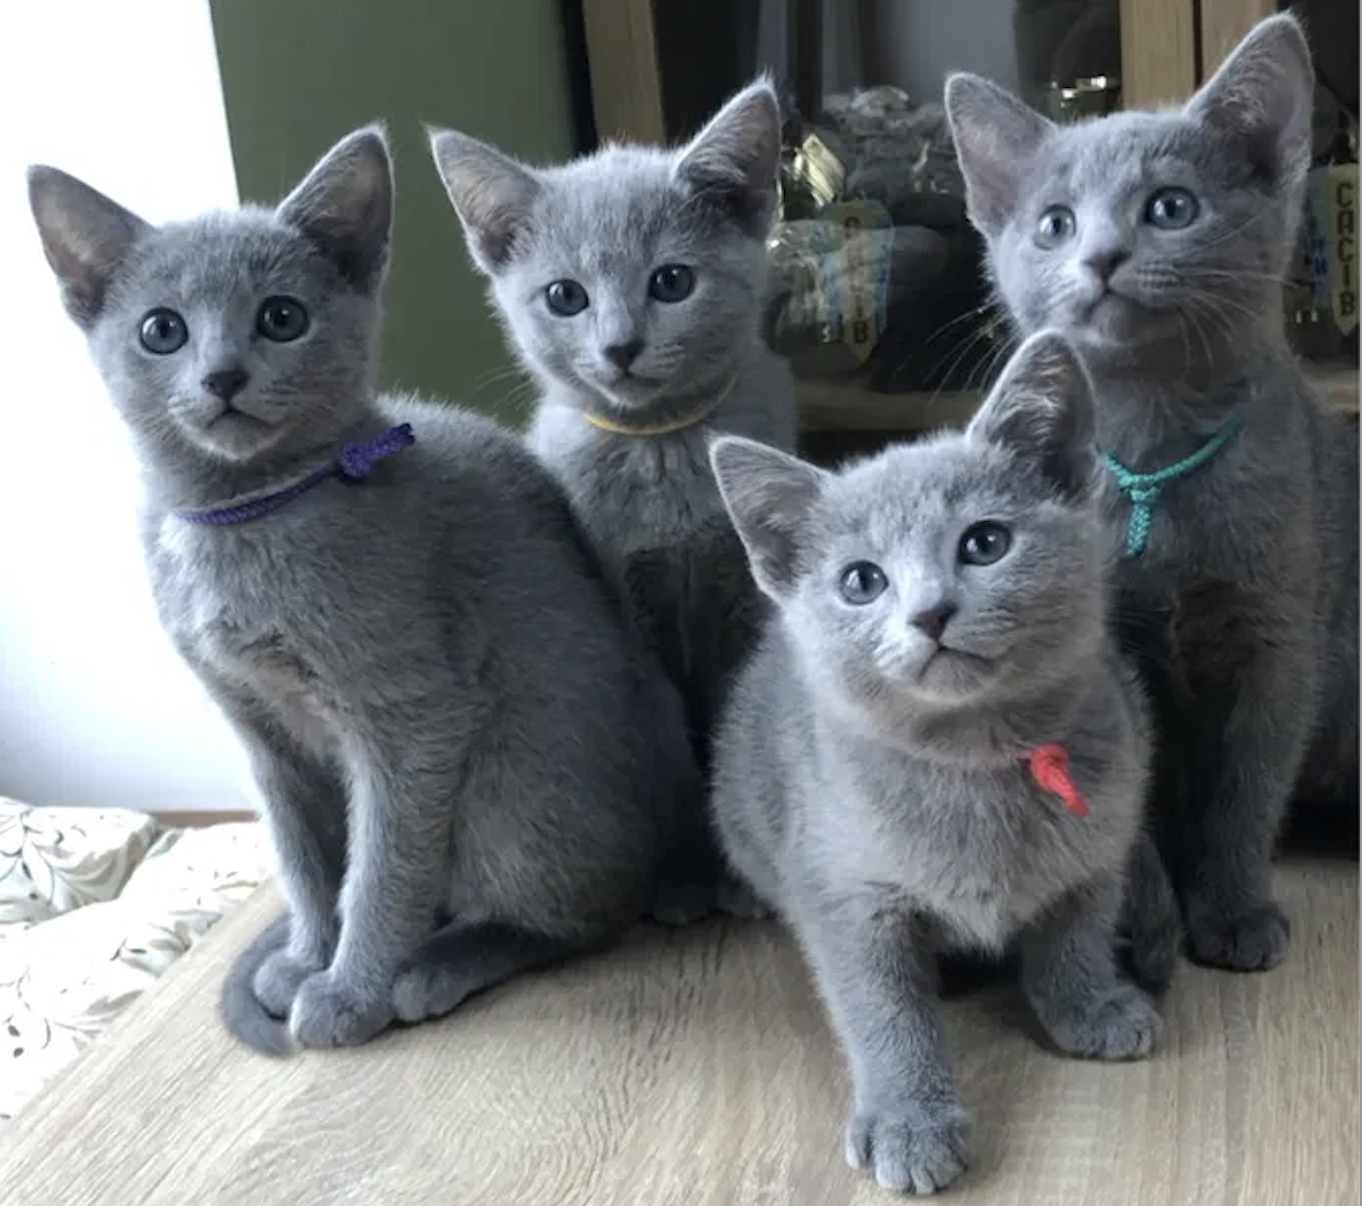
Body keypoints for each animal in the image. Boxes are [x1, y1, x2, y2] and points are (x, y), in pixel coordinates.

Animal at [29, 124, 702, 1052]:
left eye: (282, 318)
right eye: (162, 330)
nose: (223, 376)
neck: (242, 517)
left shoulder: (411, 720)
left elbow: (381, 868)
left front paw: (350, 990)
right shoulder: (263, 735)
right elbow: (308, 861)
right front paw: (309, 958)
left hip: (514, 779)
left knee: (583, 914)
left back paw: (440, 961)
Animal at [419, 80, 795, 915]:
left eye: (672, 282)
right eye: (566, 296)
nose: (621, 348)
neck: (663, 451)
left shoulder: (742, 605)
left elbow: (730, 720)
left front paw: (734, 871)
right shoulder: (629, 621)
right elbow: (667, 742)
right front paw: (686, 873)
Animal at [708, 327, 1165, 1193]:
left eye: (985, 543)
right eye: (861, 581)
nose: (930, 612)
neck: (976, 760)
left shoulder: (1099, 843)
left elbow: (1077, 930)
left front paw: (1089, 1002)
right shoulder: (844, 894)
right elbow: (882, 1009)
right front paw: (909, 1120)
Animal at [947, 9, 1362, 975]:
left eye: (1171, 207)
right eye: (1054, 224)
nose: (1100, 255)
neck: (1152, 462)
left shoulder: (1280, 637)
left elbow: (1251, 787)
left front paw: (1235, 911)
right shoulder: (1100, 652)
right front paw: (1142, 922)